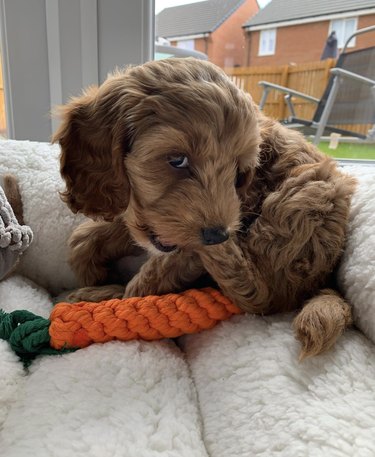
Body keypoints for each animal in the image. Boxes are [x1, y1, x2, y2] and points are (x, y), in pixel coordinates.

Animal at [52, 57, 356, 358]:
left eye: (239, 173)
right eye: (177, 160)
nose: (218, 235)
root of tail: (325, 279)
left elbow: (156, 272)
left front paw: (104, 296)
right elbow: (87, 237)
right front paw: (93, 272)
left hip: (311, 189)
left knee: (263, 295)